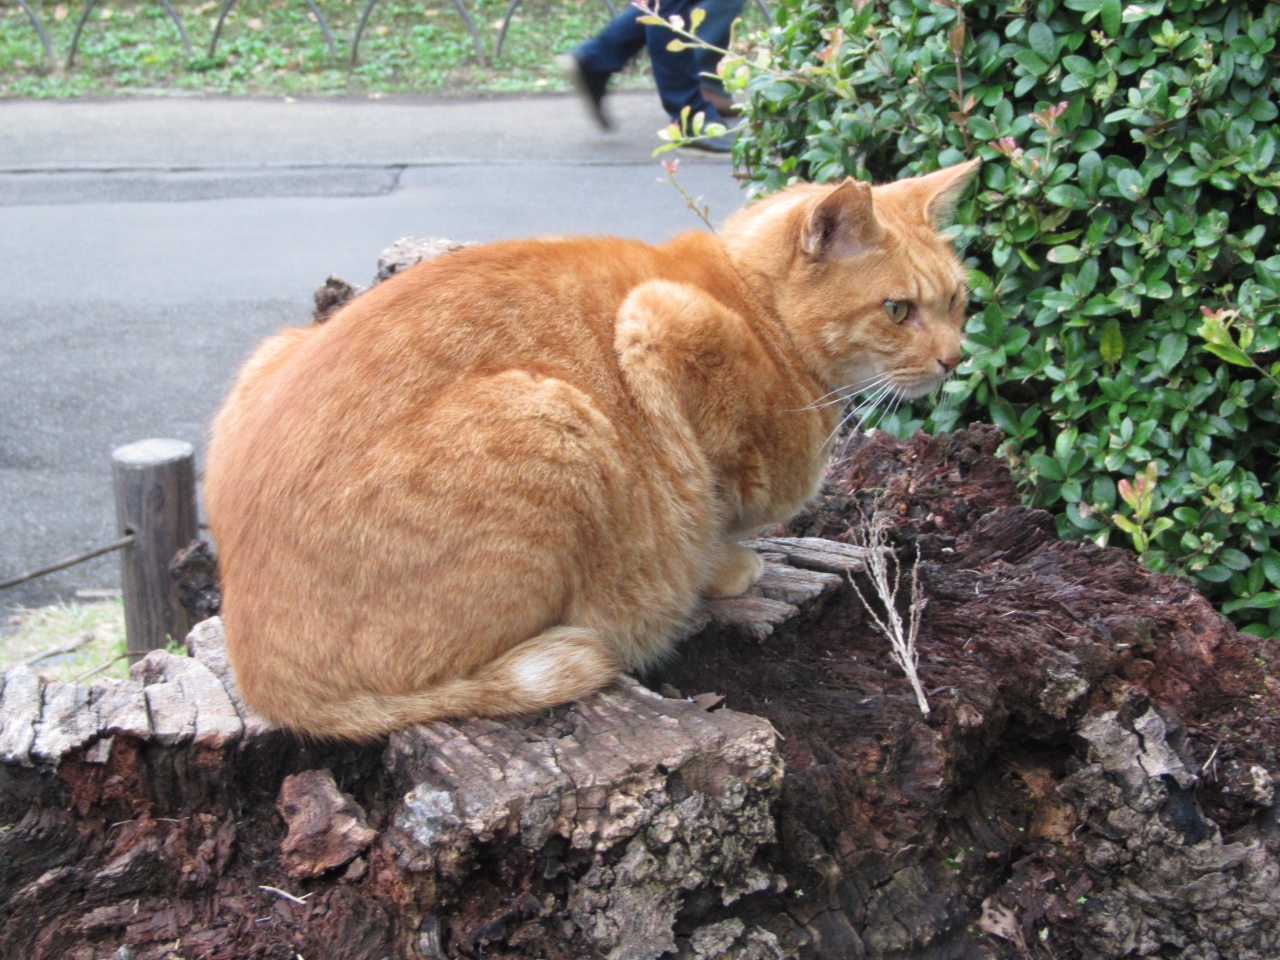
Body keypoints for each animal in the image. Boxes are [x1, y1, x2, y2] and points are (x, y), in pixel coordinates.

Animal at [203, 160, 978, 740]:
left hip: (270, 353)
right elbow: (709, 505)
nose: (954, 359)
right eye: (899, 310)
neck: (756, 310)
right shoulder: (658, 327)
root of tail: (258, 673)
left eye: (959, 300)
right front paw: (725, 565)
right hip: (554, 420)